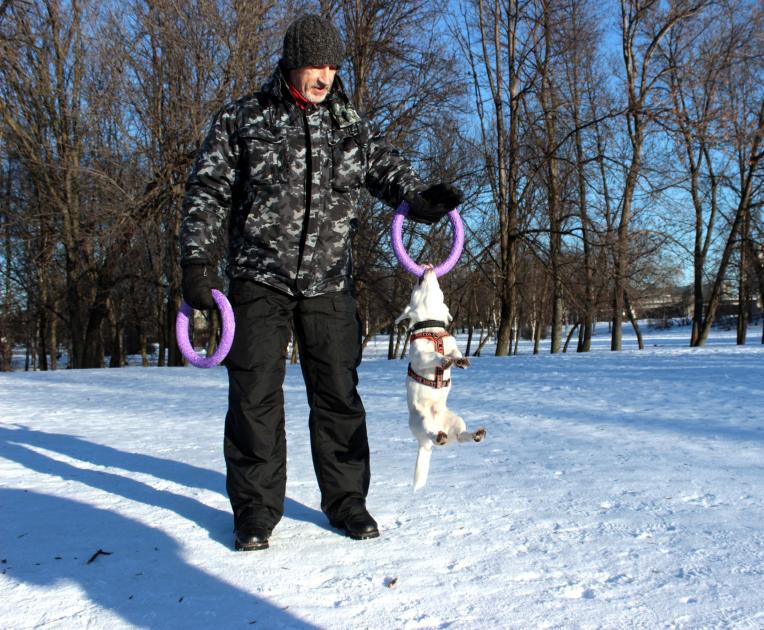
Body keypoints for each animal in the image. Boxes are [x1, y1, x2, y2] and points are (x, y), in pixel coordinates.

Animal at [396, 268, 486, 494]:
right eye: (416, 286)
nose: (427, 267)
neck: (433, 327)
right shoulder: (420, 355)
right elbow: (434, 356)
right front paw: (444, 361)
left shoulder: (451, 344)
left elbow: (455, 352)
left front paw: (461, 361)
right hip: (421, 421)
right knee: (433, 435)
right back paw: (439, 437)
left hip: (456, 421)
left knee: (461, 436)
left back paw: (477, 434)